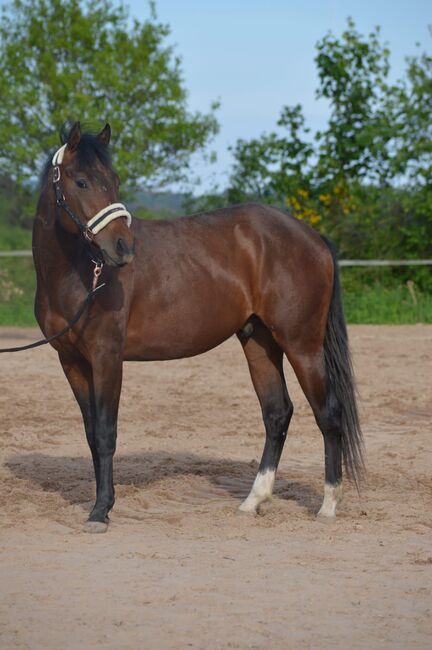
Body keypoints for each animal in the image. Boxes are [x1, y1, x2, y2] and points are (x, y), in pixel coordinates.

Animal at [33, 121, 364, 532]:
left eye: (114, 180)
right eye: (80, 182)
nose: (123, 247)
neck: (79, 273)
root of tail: (311, 235)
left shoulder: (107, 358)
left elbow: (107, 433)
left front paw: (100, 511)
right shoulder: (72, 362)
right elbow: (92, 434)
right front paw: (99, 505)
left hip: (302, 344)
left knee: (328, 414)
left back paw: (328, 505)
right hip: (259, 341)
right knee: (277, 413)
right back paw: (253, 500)